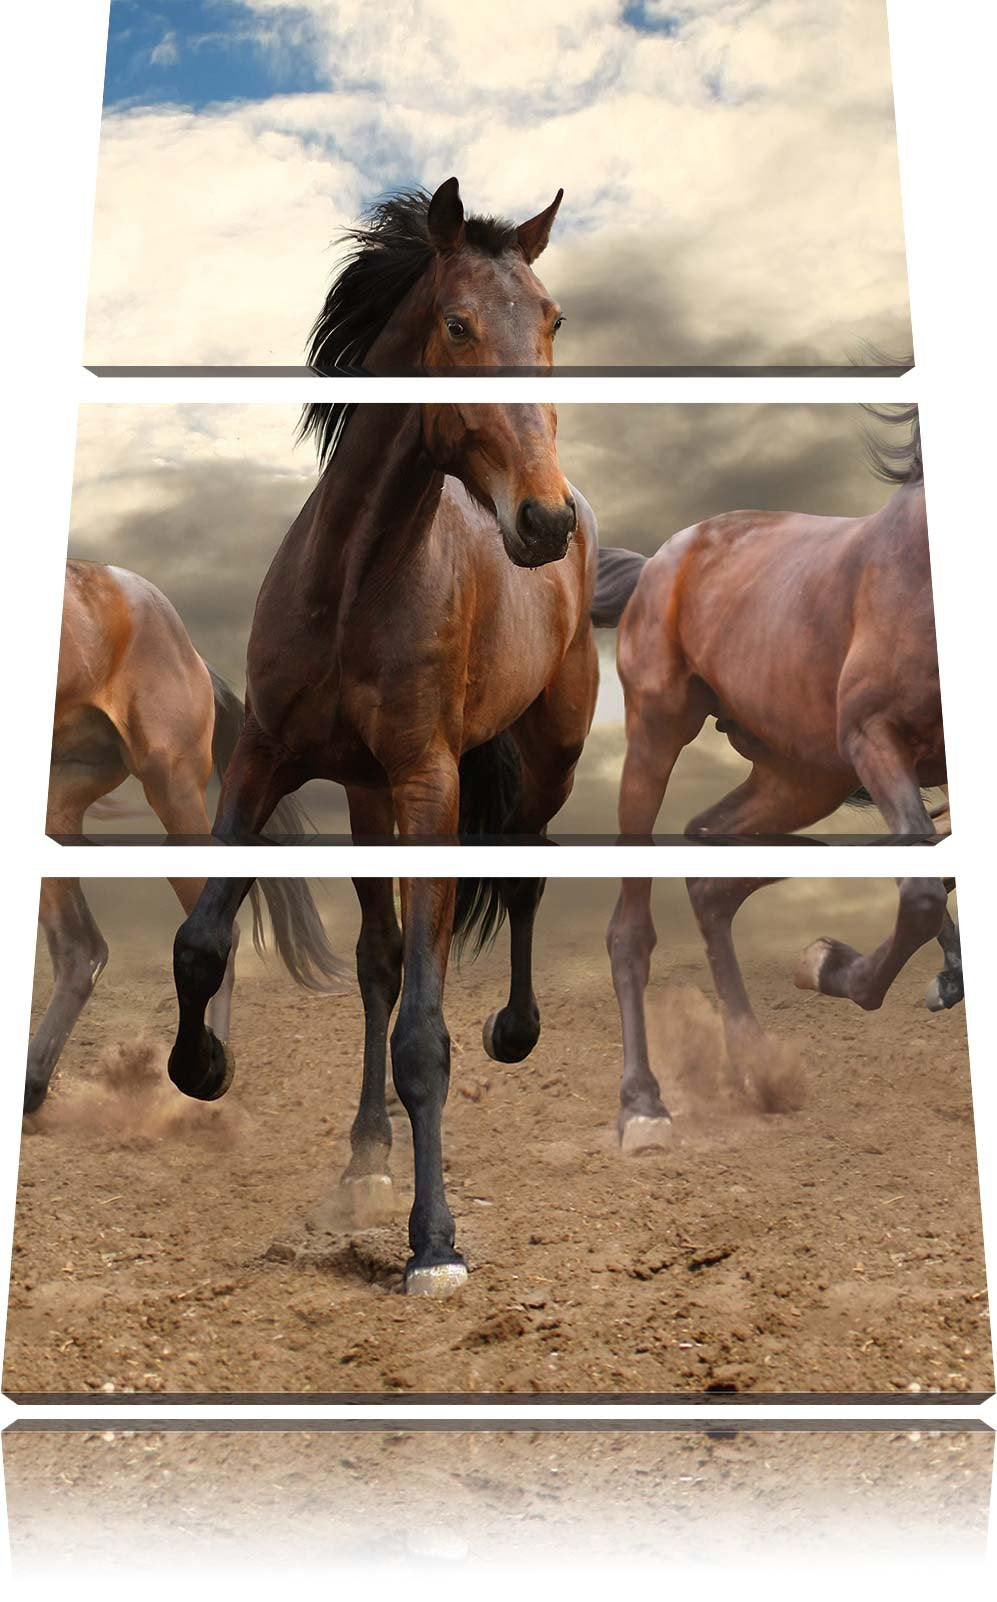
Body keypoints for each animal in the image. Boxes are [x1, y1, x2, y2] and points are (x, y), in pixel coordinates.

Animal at [168, 178, 599, 1296]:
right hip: (364, 800)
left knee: (522, 884)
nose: (543, 523)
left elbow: (424, 1036)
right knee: (377, 957)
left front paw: (434, 1244)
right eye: (456, 324)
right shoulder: (266, 763)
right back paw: (363, 1164)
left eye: (551, 321)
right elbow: (204, 941)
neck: (354, 581)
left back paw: (514, 1033)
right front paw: (200, 1068)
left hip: (545, 759)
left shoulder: (428, 788)